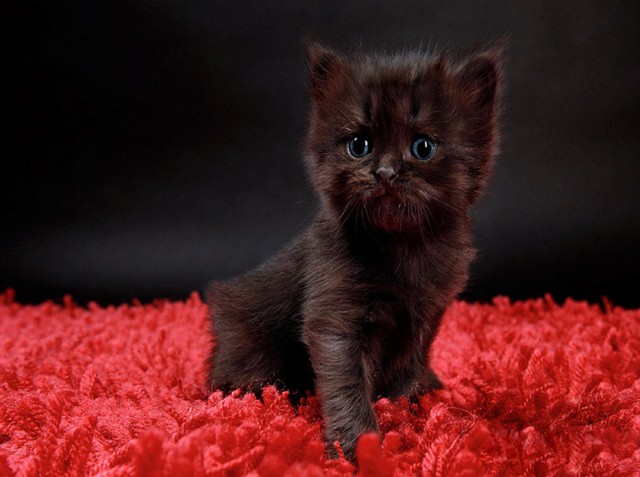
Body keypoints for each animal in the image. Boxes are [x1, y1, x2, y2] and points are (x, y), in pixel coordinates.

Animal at [206, 41, 502, 460]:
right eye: (359, 145)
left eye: (423, 147)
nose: (386, 172)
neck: (403, 246)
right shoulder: (335, 315)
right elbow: (346, 383)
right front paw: (357, 445)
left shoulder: (429, 313)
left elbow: (410, 363)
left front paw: (408, 403)